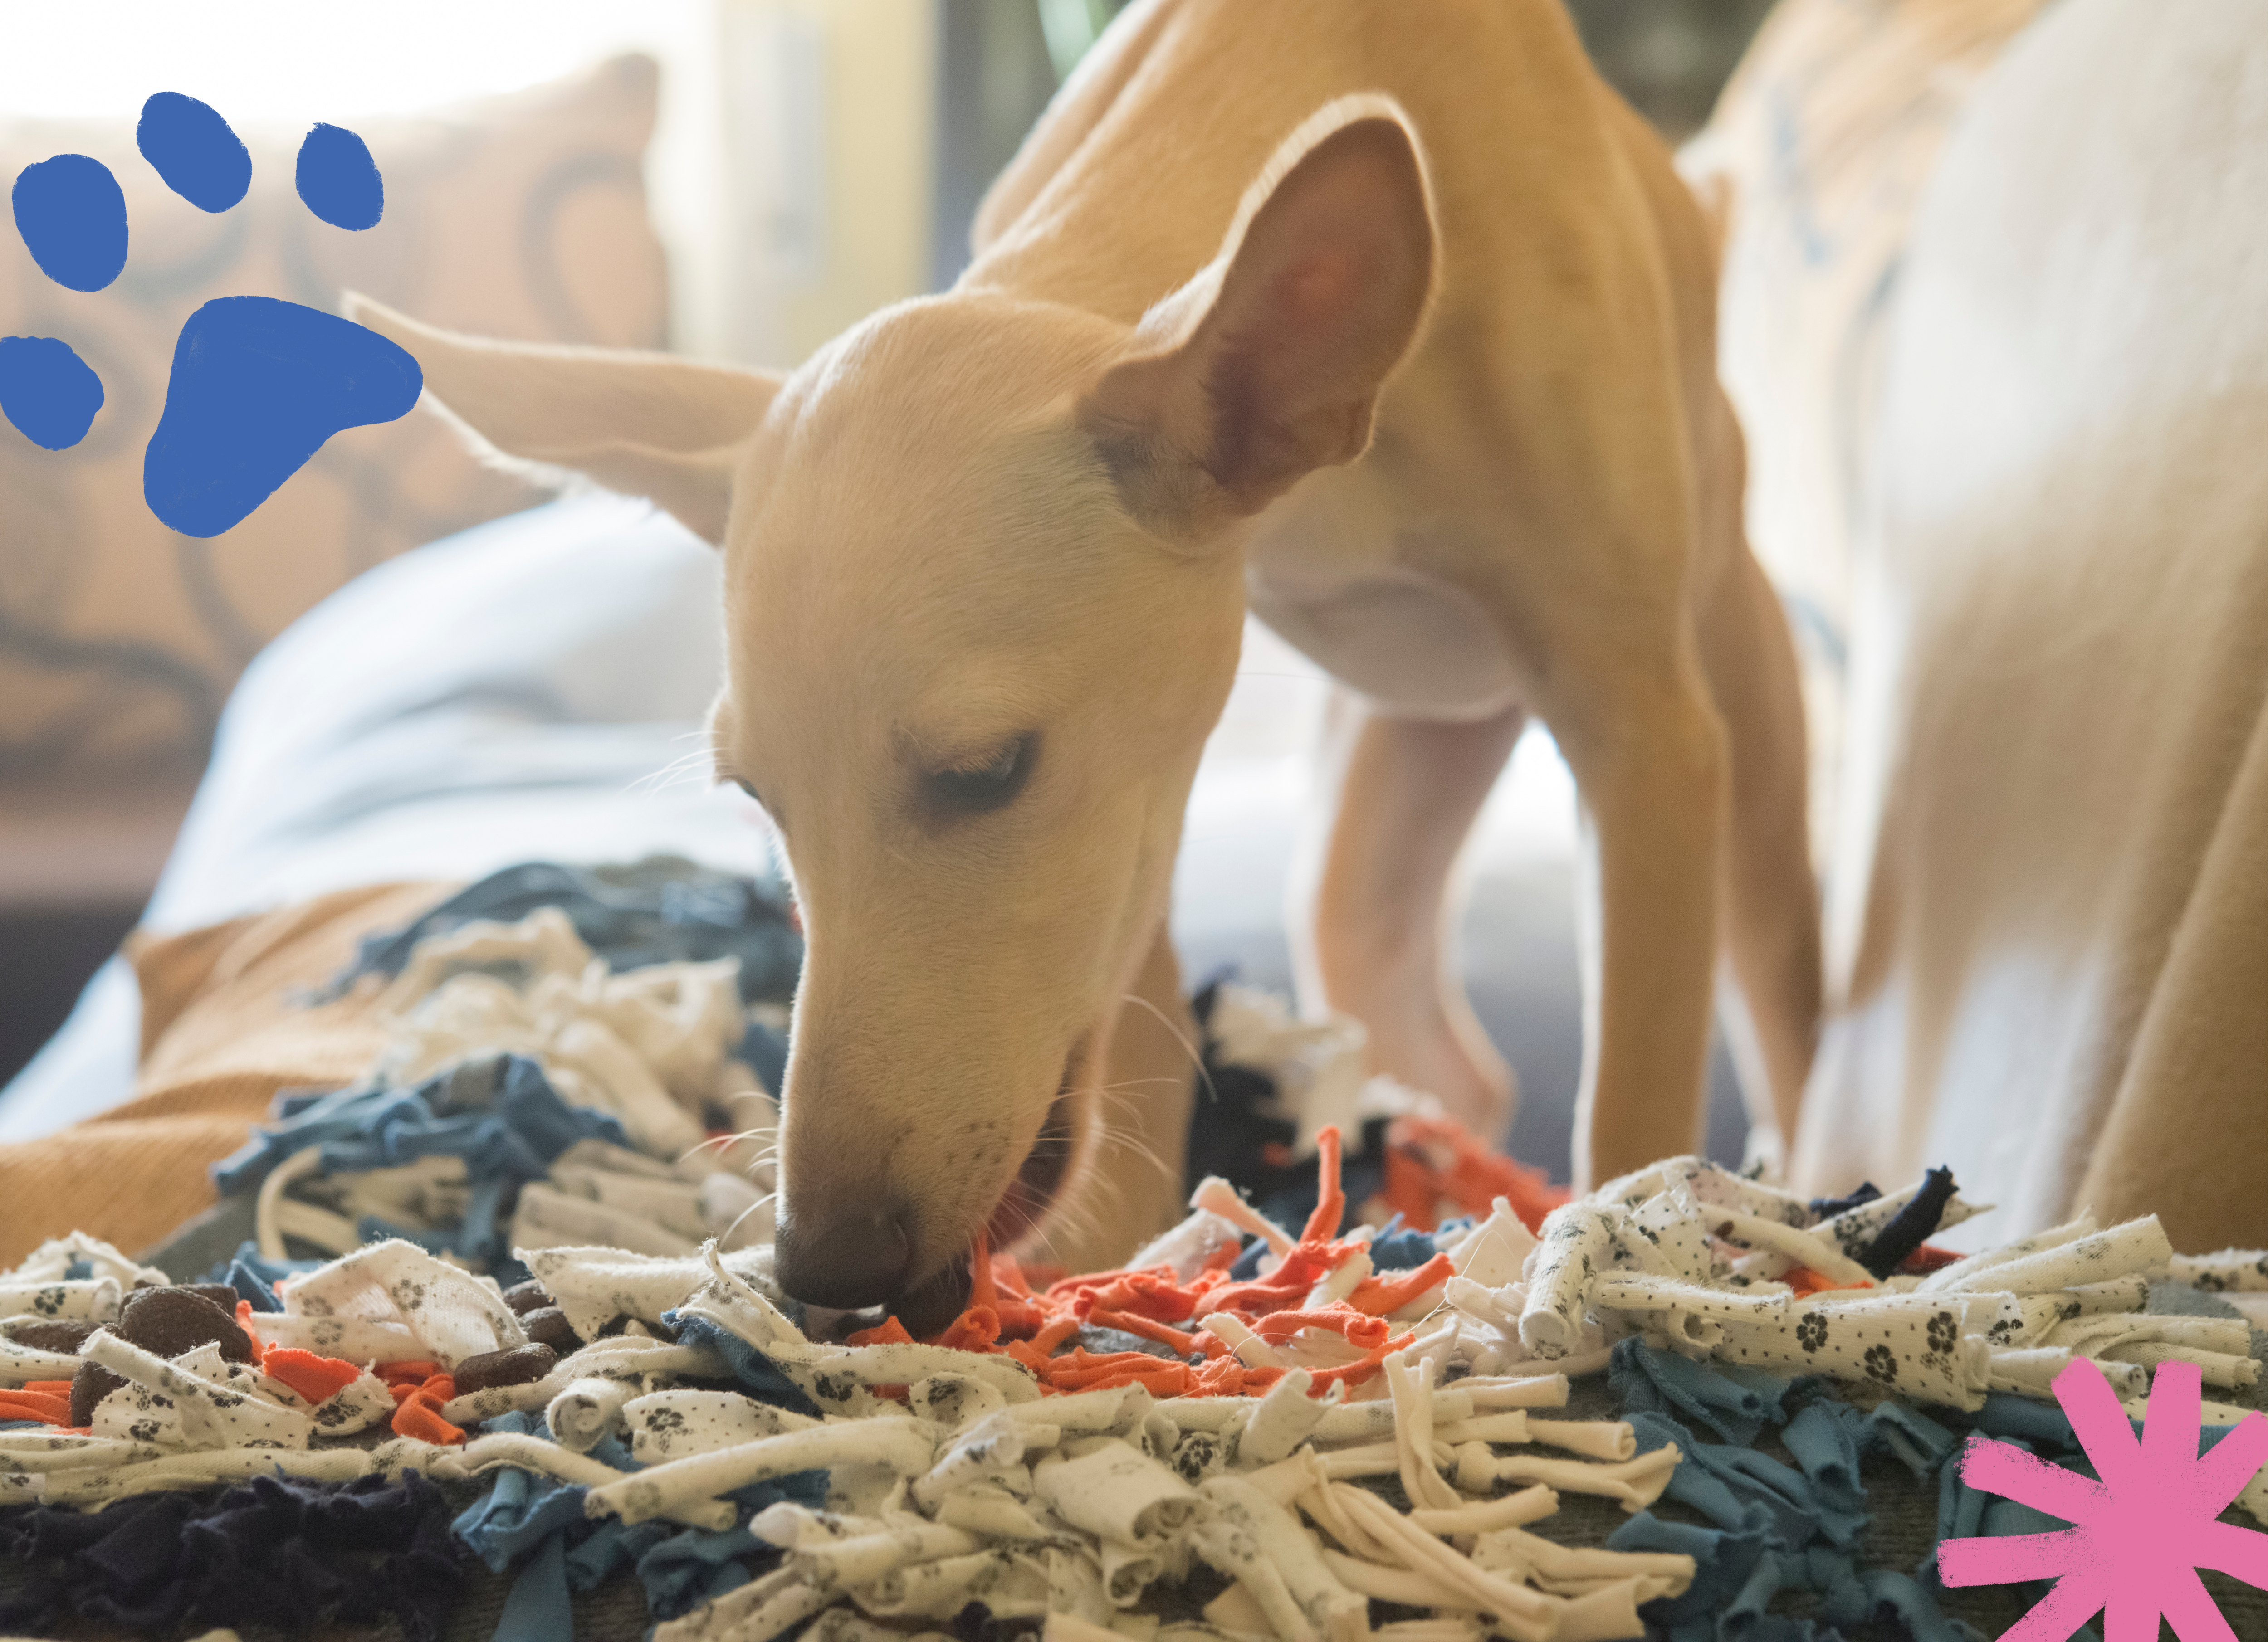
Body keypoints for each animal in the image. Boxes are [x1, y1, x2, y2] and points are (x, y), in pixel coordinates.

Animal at [345, 0, 1814, 1324]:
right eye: (756, 801)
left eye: (984, 769)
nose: (827, 1265)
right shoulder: (1139, 836)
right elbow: (1132, 1071)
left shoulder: (1638, 734)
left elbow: (1631, 1099)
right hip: (1367, 839)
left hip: (1735, 727)